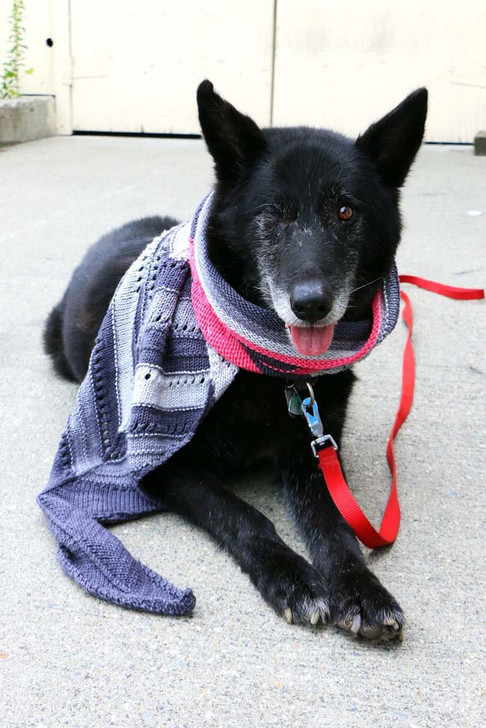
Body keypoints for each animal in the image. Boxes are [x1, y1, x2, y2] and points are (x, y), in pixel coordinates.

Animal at [44, 79, 426, 640]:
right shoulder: (165, 466)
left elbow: (336, 528)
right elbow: (246, 516)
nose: (311, 304)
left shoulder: (314, 455)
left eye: (345, 212)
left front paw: (361, 590)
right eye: (274, 212)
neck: (272, 372)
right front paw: (292, 578)